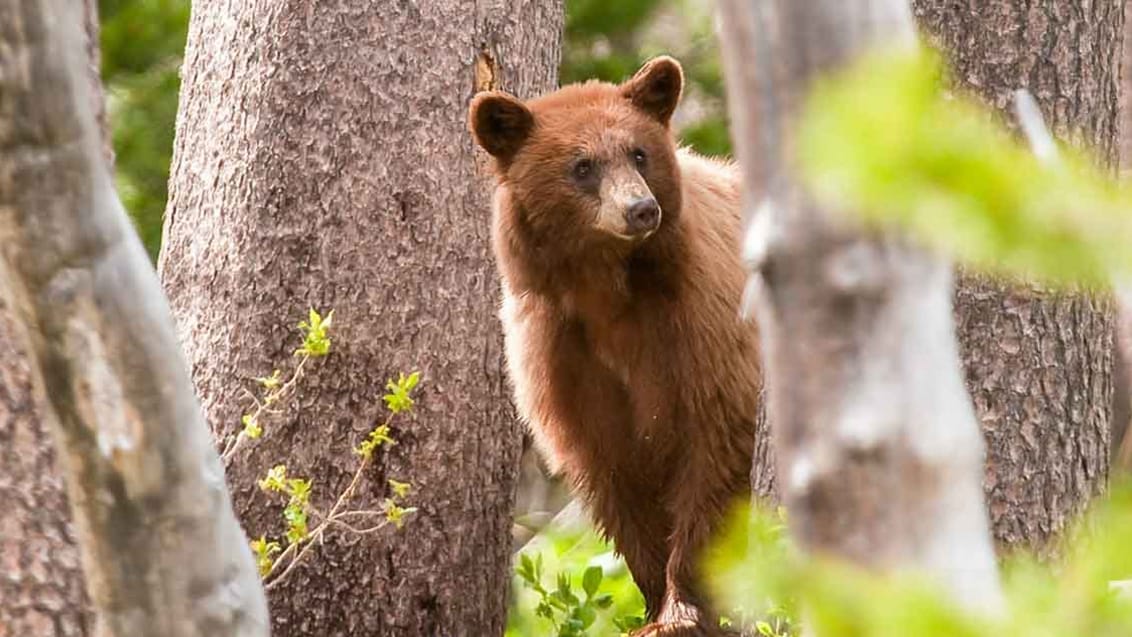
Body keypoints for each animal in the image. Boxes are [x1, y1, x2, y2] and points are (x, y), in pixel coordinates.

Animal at [468, 57, 760, 633]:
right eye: (582, 166)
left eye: (639, 153)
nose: (641, 209)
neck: (607, 292)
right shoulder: (561, 354)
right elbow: (612, 473)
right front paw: (653, 601)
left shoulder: (704, 324)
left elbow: (713, 448)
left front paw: (680, 607)